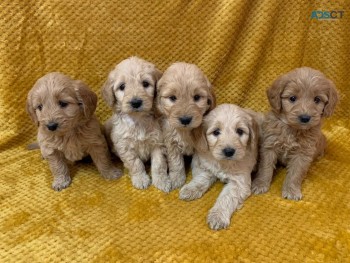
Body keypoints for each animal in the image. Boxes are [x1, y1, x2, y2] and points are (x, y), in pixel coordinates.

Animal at [100, 56, 170, 193]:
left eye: (145, 84)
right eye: (122, 86)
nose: (136, 102)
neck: (138, 120)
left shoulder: (158, 143)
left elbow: (158, 165)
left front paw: (161, 181)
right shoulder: (125, 146)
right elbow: (135, 164)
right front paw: (140, 179)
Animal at [157, 63, 216, 191]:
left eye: (197, 97)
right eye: (172, 98)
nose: (185, 120)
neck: (184, 131)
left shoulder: (200, 146)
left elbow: (198, 164)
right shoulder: (171, 143)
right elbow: (176, 163)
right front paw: (177, 179)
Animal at [252, 67, 340, 201]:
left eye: (317, 99)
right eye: (292, 98)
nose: (305, 117)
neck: (292, 129)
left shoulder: (303, 154)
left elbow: (296, 173)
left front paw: (291, 190)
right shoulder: (269, 146)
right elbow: (265, 168)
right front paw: (260, 184)